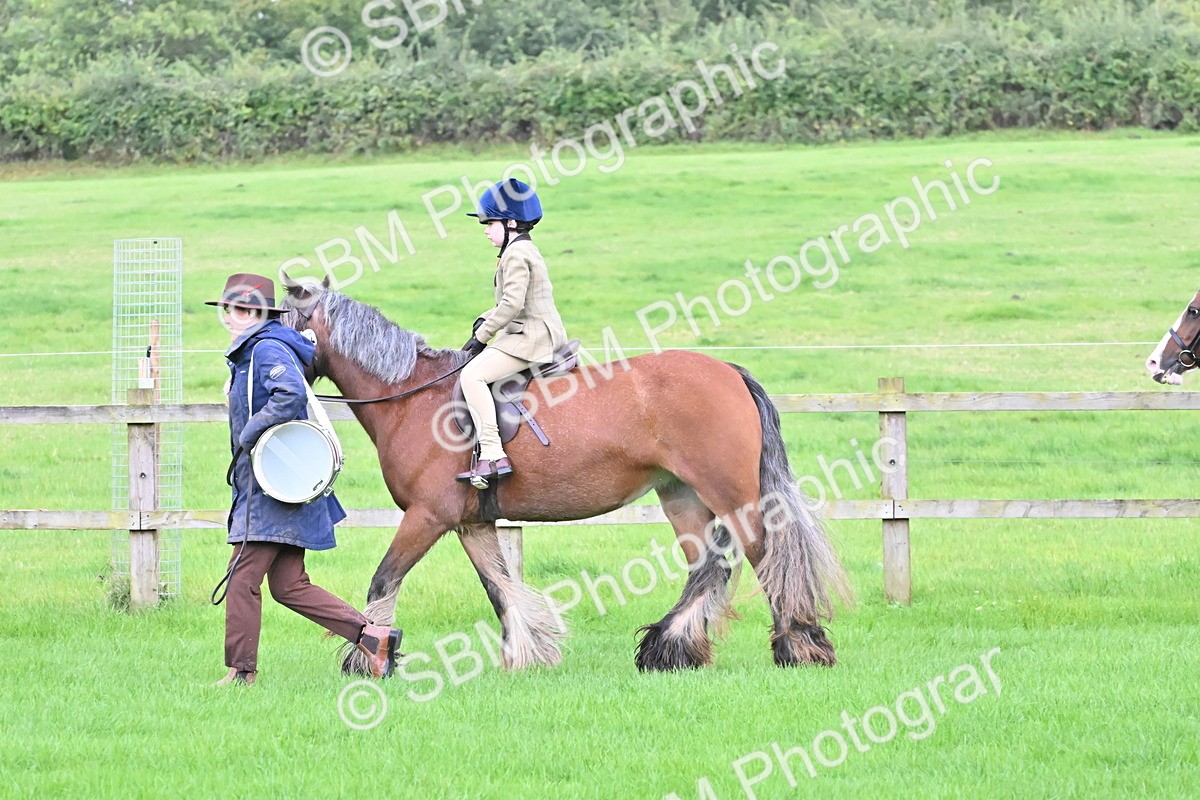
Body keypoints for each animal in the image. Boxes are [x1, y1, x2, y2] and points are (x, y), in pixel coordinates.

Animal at [278, 275, 851, 674]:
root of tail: (728, 371)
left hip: (733, 496)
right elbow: (499, 587)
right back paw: (670, 650)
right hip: (682, 495)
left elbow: (384, 579)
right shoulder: (471, 523)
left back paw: (797, 646)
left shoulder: (428, 517)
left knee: (763, 555)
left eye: (277, 321)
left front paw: (367, 660)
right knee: (708, 565)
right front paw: (527, 655)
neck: (413, 398)